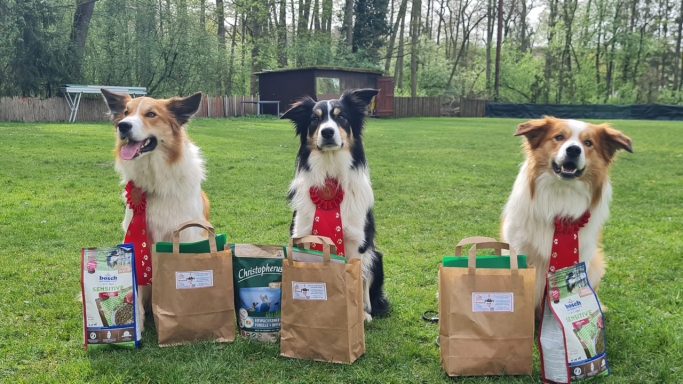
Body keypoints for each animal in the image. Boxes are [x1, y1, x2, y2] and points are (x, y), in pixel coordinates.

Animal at [282, 88, 390, 320]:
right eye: (315, 118)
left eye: (342, 117)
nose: (327, 132)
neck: (330, 175)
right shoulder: (303, 237)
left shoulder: (357, 244)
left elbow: (357, 282)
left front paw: (357, 315)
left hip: (376, 257)